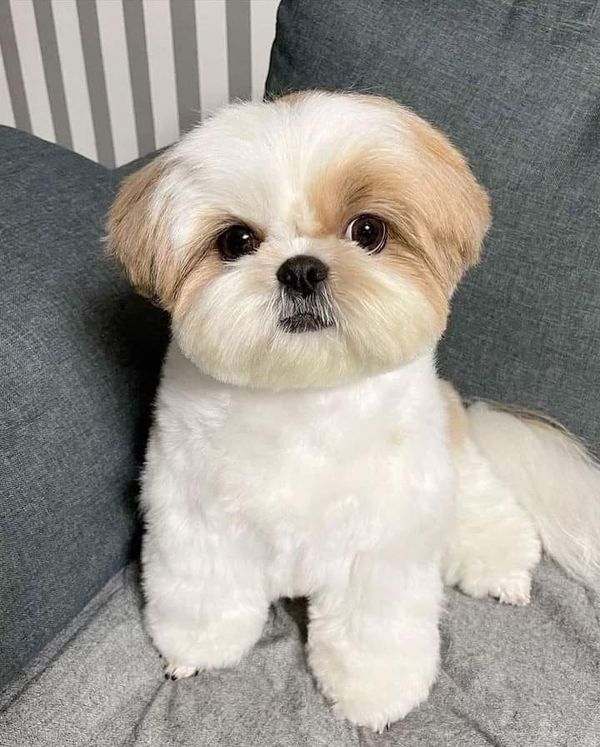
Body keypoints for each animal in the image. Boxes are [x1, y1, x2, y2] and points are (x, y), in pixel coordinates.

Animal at [108, 89, 600, 732]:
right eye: (235, 242)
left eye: (368, 230)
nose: (301, 268)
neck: (302, 401)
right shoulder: (197, 518)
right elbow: (206, 591)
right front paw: (197, 651)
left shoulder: (382, 544)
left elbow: (374, 628)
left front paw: (374, 695)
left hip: (458, 473)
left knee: (490, 516)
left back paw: (502, 573)